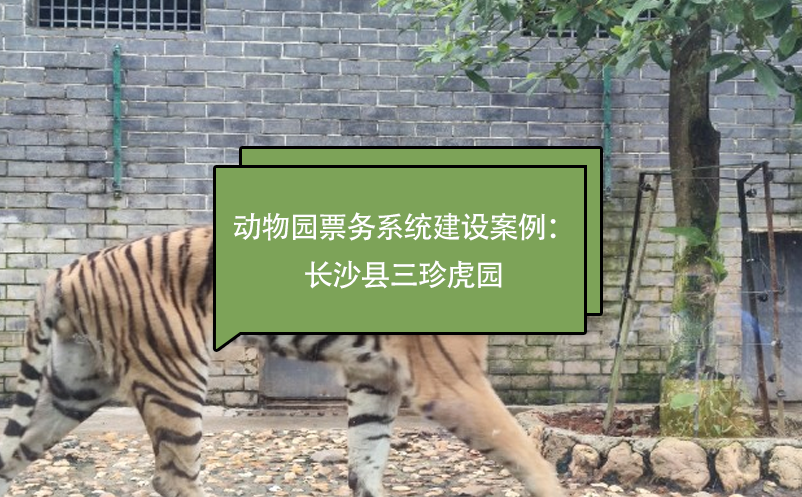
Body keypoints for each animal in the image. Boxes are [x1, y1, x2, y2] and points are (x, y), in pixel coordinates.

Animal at [0, 225, 564, 497]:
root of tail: (65, 272)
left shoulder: (374, 379)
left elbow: (367, 463)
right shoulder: (453, 383)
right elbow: (527, 454)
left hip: (74, 390)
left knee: (10, 454)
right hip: (175, 379)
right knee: (173, 477)